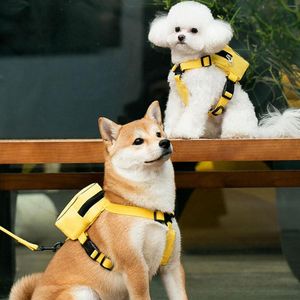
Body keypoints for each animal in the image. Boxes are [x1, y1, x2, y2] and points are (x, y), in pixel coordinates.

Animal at [10, 102, 188, 298]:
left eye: (159, 134)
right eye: (138, 141)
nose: (165, 142)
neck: (150, 209)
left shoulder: (172, 267)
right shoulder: (135, 268)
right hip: (83, 291)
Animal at [148, 1, 300, 139]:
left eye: (194, 30)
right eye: (177, 29)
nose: (180, 37)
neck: (189, 64)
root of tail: (256, 130)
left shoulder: (200, 97)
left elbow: (192, 115)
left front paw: (184, 132)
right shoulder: (176, 97)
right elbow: (173, 114)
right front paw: (170, 131)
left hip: (236, 116)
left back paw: (235, 134)